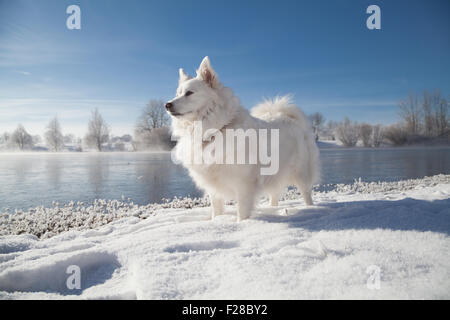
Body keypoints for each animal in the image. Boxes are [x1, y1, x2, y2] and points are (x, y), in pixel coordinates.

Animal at [166, 56, 320, 221]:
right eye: (177, 93)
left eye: (189, 93)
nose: (167, 105)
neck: (216, 130)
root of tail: (288, 118)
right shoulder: (214, 189)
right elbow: (216, 211)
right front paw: (216, 221)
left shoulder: (244, 186)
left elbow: (242, 212)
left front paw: (242, 223)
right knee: (274, 195)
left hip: (301, 173)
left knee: (306, 193)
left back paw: (311, 209)